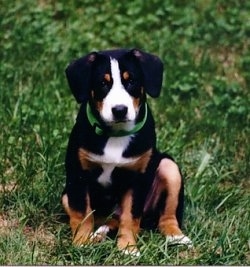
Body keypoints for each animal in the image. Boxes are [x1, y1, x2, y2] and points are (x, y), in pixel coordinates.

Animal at [61, 48, 190, 258]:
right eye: (103, 83)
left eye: (131, 81)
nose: (119, 110)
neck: (116, 133)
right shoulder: (78, 175)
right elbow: (82, 214)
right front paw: (81, 243)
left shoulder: (137, 179)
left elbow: (130, 217)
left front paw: (128, 248)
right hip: (66, 196)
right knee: (104, 220)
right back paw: (97, 235)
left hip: (168, 166)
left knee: (166, 216)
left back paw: (176, 236)